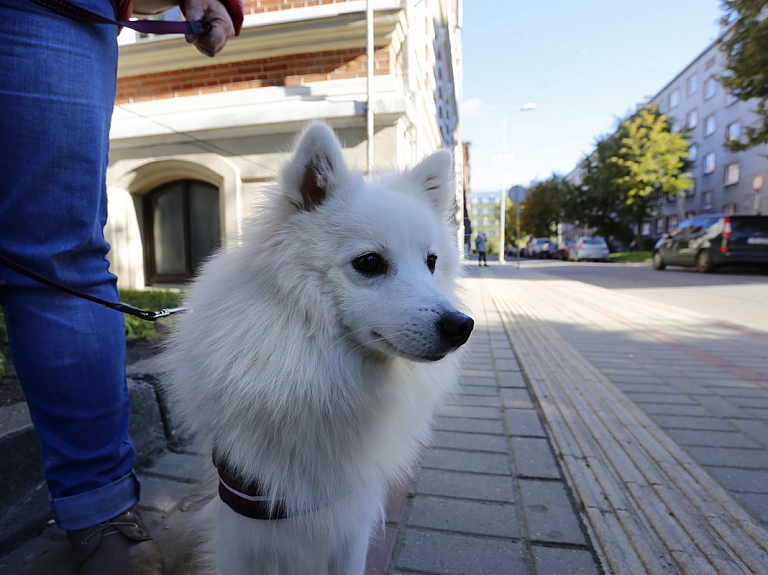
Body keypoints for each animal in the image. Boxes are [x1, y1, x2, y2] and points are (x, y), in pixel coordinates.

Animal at [162, 124, 474, 572]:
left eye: (431, 262)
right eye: (369, 262)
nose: (460, 326)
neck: (319, 368)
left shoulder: (350, 517)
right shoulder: (244, 515)